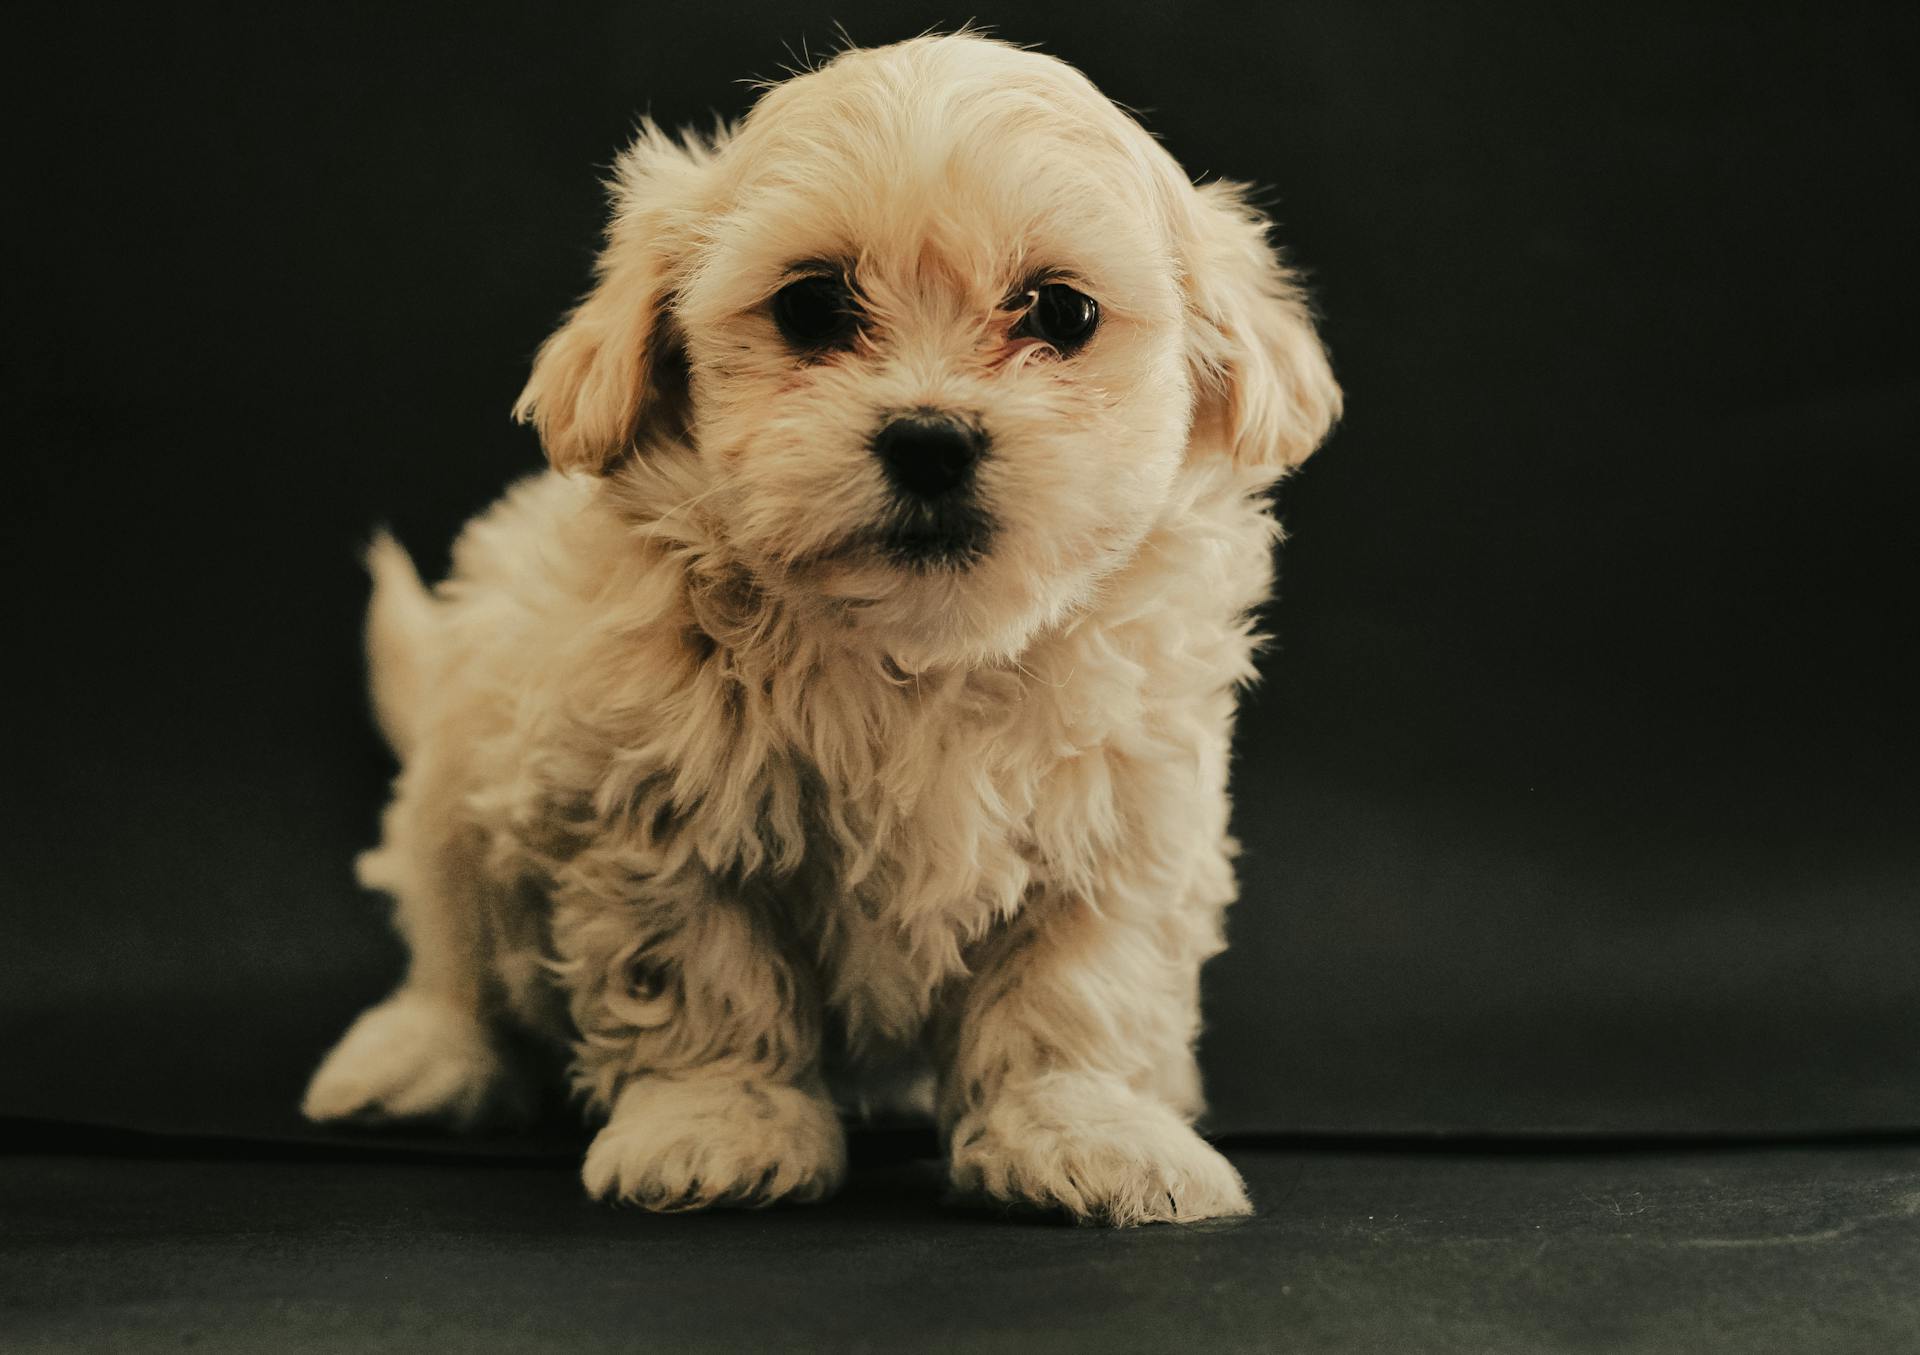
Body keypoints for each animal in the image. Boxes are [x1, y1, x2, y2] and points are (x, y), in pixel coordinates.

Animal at [307, 31, 1344, 1220]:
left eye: (1061, 313)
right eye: (810, 308)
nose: (931, 438)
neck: (919, 650)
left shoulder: (1123, 822)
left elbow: (1077, 986)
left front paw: (1085, 1130)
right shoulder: (647, 805)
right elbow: (698, 973)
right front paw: (717, 1123)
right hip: (460, 770)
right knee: (454, 947)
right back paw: (422, 1056)